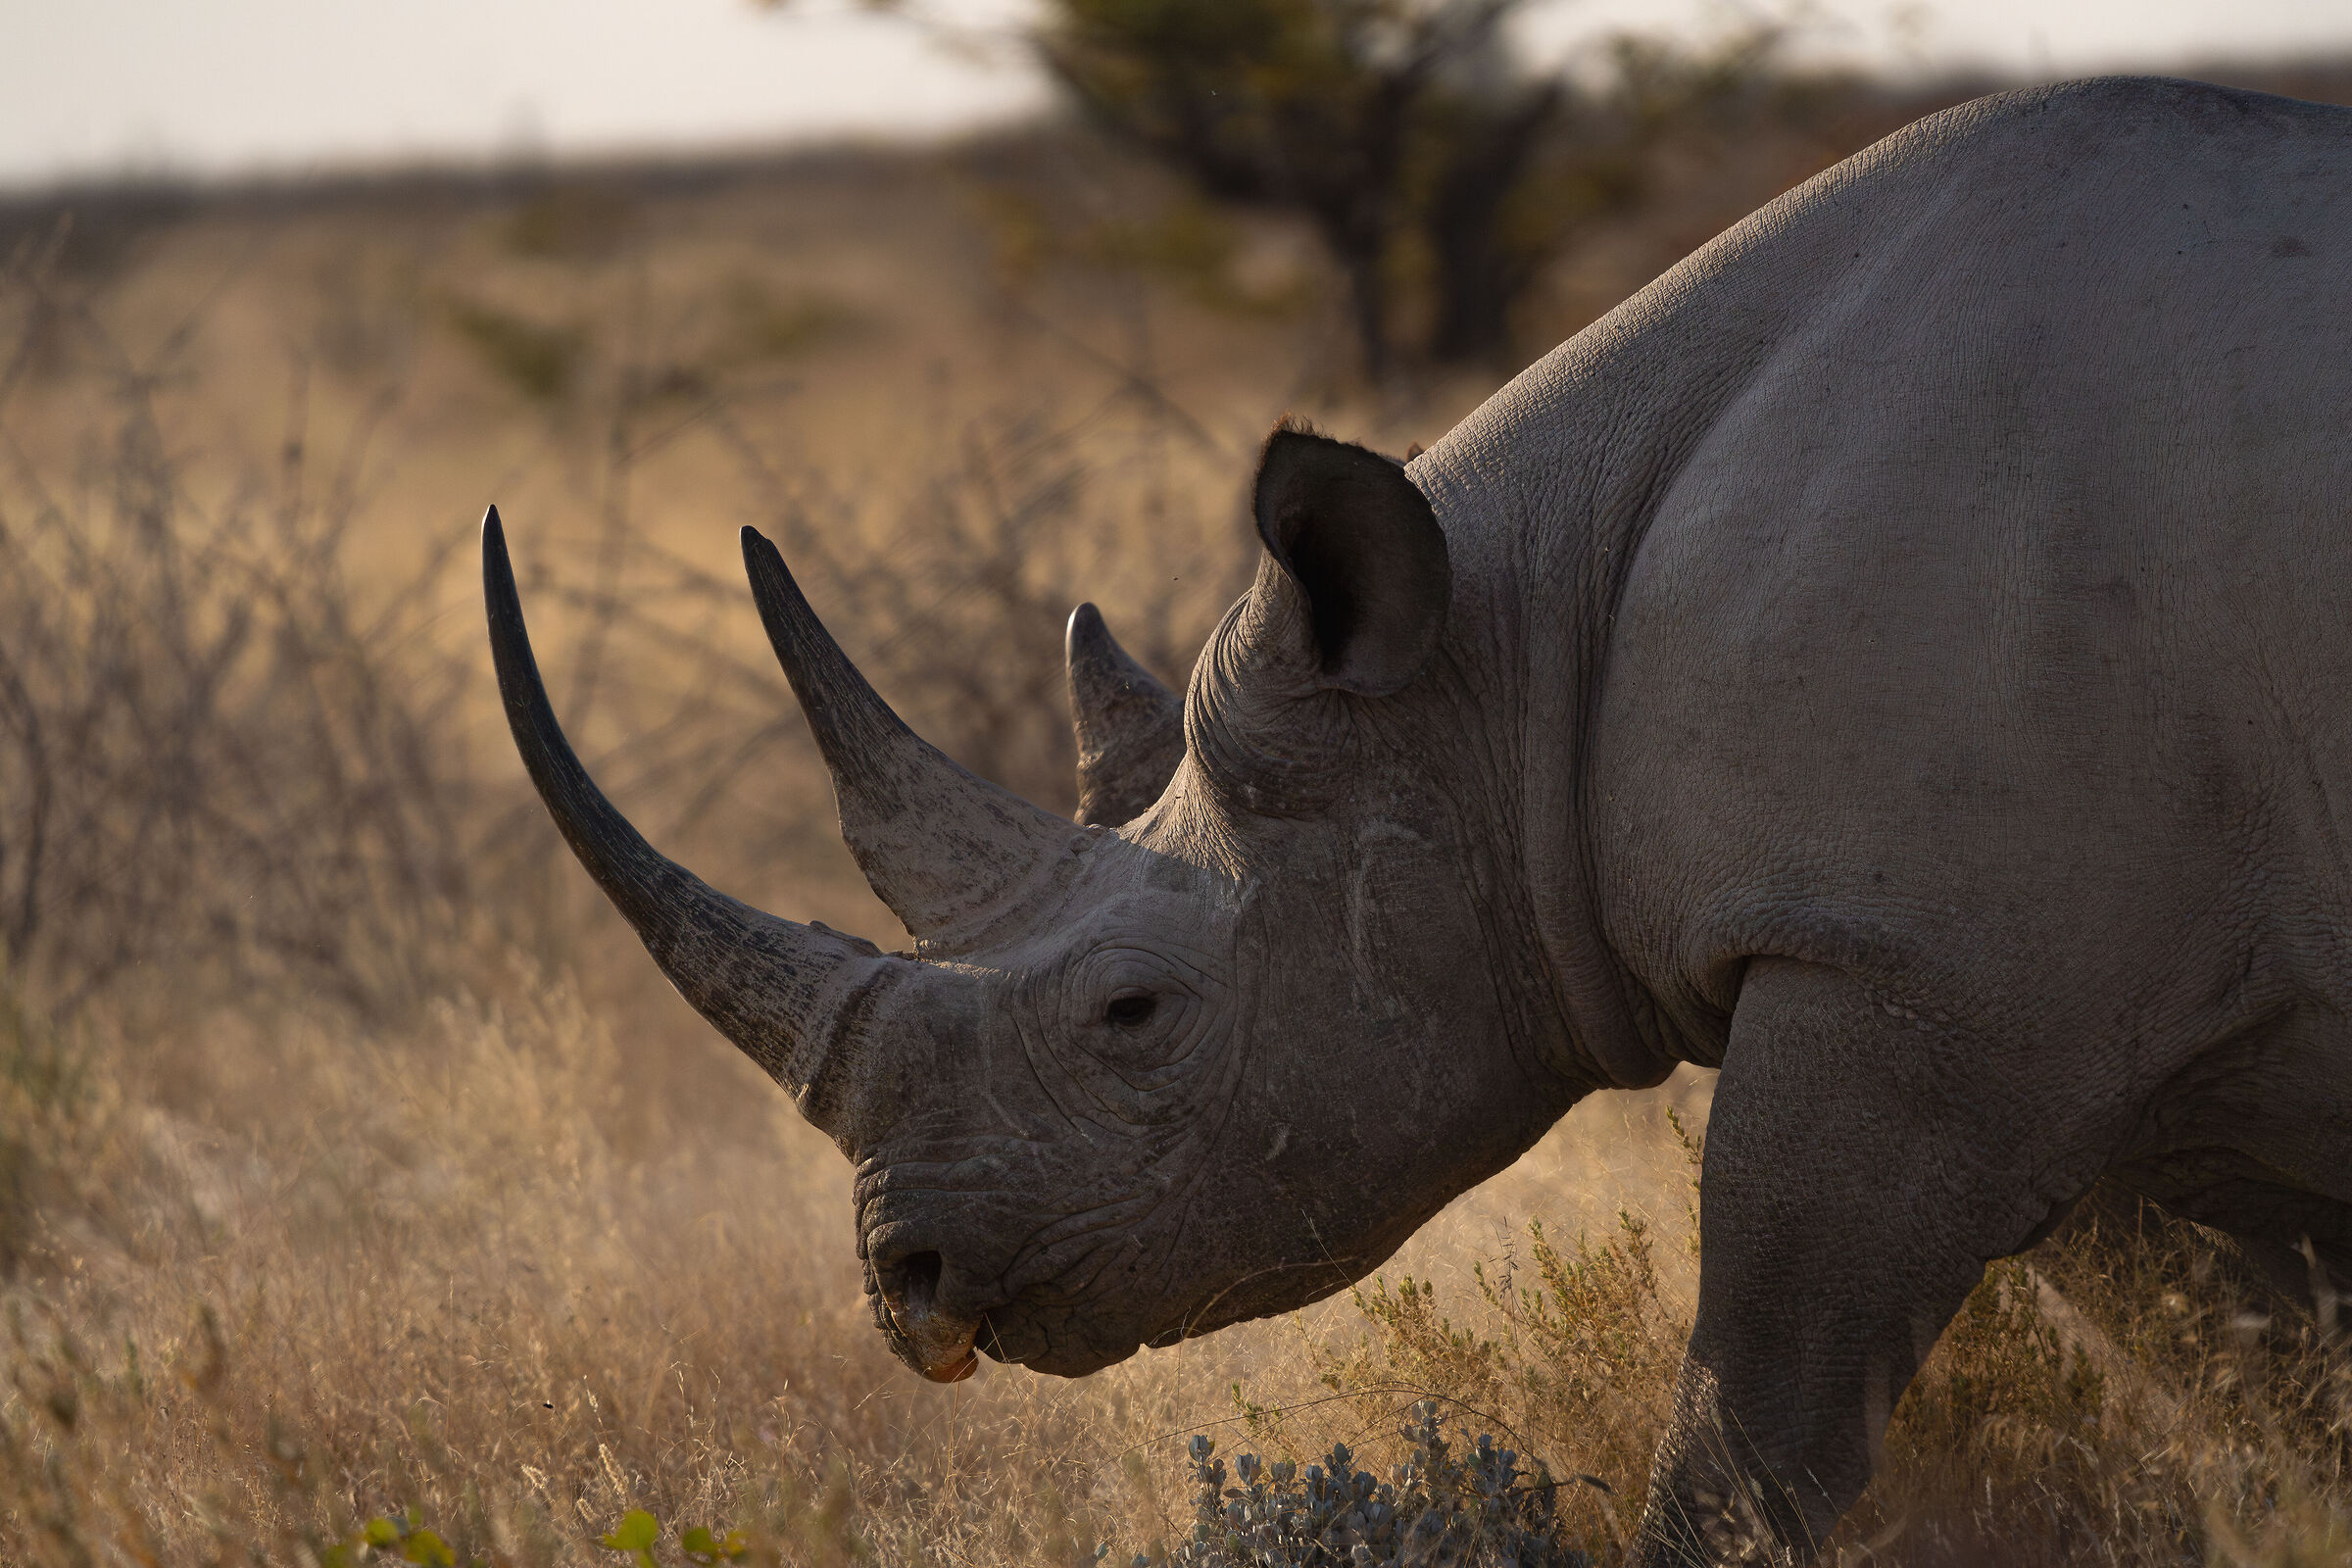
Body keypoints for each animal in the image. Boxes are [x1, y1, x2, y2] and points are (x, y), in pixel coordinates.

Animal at [483, 77, 2352, 1563]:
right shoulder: (2029, 996)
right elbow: (2265, 1396)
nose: (908, 1283)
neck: (1509, 652)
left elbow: (1752, 1435)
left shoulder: (1904, 970)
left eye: (1133, 1015)